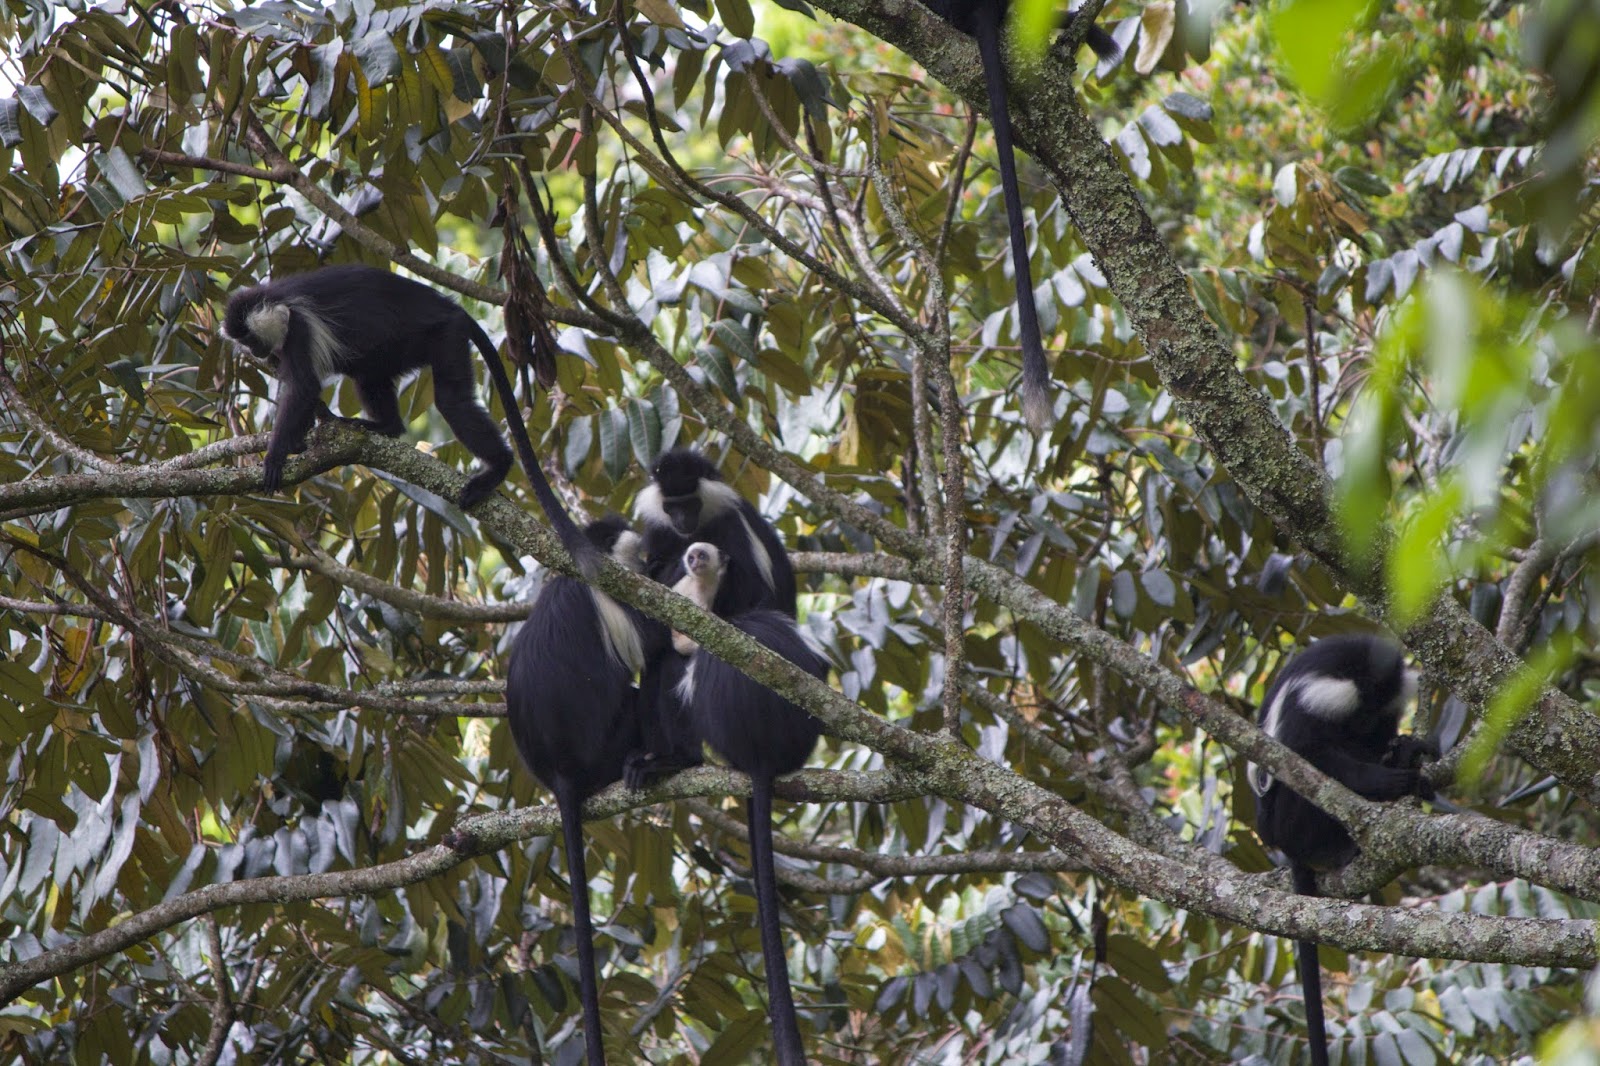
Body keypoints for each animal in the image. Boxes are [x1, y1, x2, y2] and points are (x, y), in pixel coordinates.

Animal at [222, 264, 600, 576]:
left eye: (251, 337)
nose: (254, 352)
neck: (279, 303)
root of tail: (451, 307)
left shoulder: (299, 329)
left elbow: (302, 388)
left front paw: (276, 455)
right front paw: (297, 442)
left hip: (444, 335)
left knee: (451, 400)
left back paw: (498, 466)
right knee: (368, 373)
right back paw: (383, 427)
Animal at [504, 515, 669, 1065]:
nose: (645, 545)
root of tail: (562, 774)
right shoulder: (608, 593)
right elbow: (655, 643)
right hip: (607, 745)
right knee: (638, 691)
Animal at [1246, 635, 1438, 1066]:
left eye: (1373, 715)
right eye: (1359, 713)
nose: (1365, 728)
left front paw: (1403, 754)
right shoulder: (1321, 697)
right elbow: (1307, 750)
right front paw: (1384, 778)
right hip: (1288, 822)